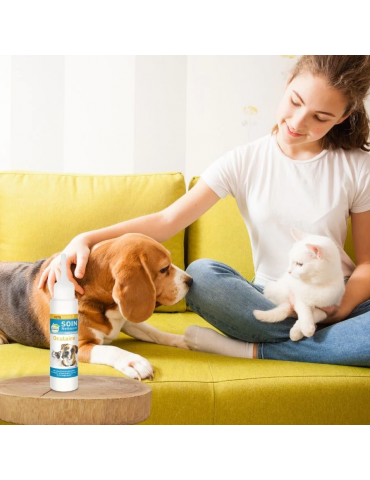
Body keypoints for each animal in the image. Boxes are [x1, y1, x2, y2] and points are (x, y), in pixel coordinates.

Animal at [0, 234, 192, 380]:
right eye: (164, 269)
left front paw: (184, 340)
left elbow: (156, 333)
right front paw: (133, 362)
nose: (190, 280)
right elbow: (111, 350)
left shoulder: (126, 318)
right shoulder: (82, 345)